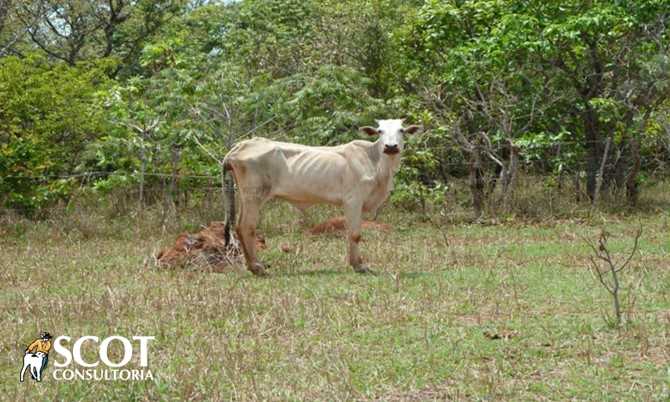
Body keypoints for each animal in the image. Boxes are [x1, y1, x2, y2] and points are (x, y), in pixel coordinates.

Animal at [227, 119, 426, 276]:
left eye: (401, 130)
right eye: (380, 131)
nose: (391, 147)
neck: (376, 162)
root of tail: (241, 146)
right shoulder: (353, 200)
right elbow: (355, 234)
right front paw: (358, 266)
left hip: (246, 196)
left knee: (239, 226)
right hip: (254, 195)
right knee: (246, 226)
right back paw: (257, 267)